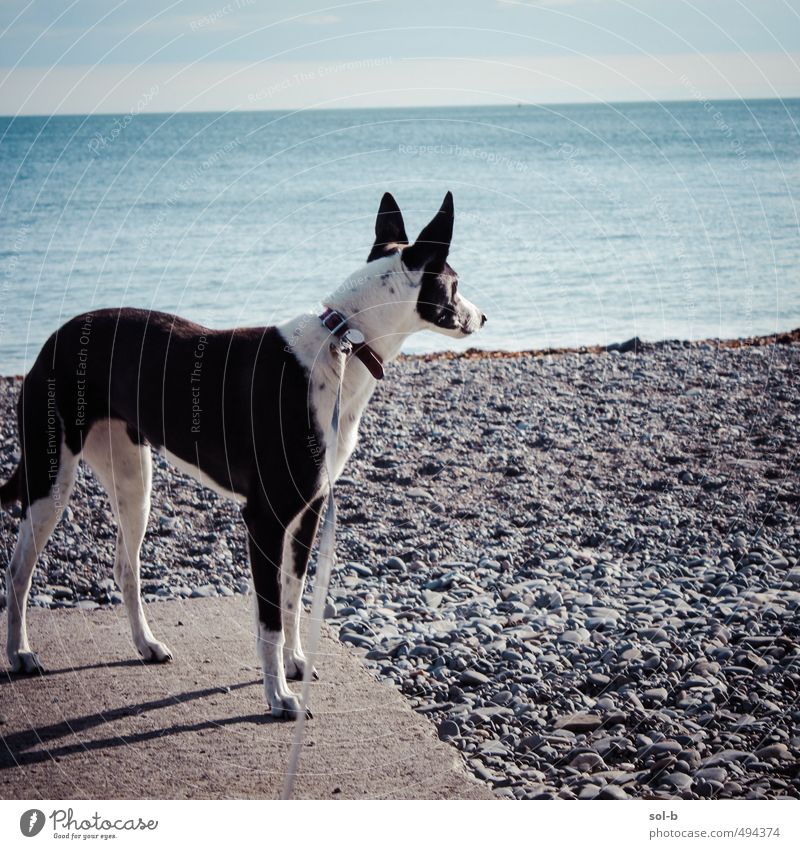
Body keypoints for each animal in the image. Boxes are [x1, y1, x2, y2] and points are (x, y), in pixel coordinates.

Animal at [1, 192, 482, 716]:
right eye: (455, 284)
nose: (483, 318)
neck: (343, 343)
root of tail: (55, 337)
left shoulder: (308, 512)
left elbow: (291, 598)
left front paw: (294, 665)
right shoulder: (264, 519)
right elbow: (269, 619)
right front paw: (279, 696)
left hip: (133, 480)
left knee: (126, 568)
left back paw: (145, 644)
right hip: (51, 479)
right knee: (18, 572)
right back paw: (20, 653)